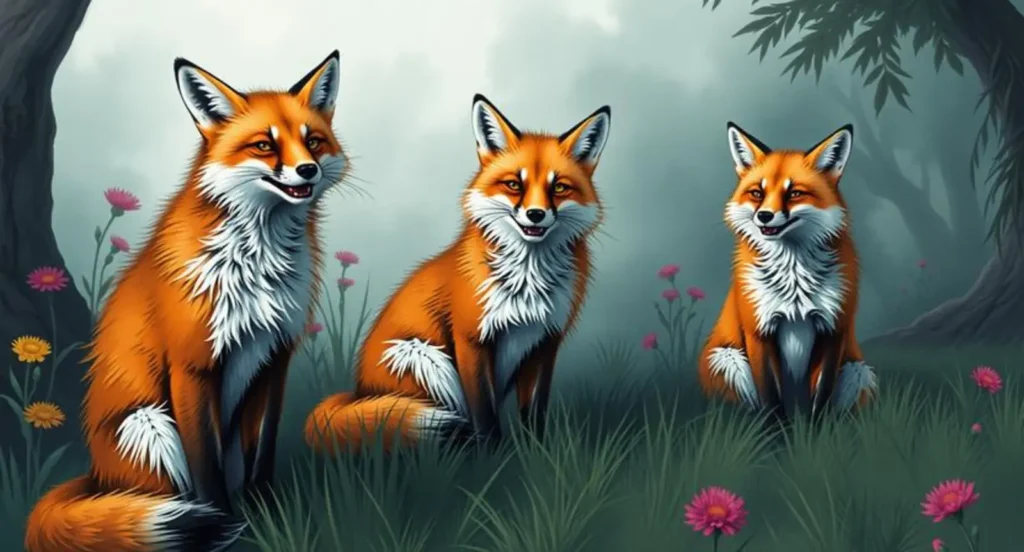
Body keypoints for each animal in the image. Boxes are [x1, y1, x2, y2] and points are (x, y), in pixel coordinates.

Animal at [25, 51, 347, 552]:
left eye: (312, 141)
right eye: (264, 145)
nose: (308, 170)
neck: (258, 266)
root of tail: (95, 477)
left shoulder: (275, 357)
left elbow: (264, 454)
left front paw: (270, 515)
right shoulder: (193, 366)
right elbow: (206, 468)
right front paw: (229, 526)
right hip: (150, 426)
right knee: (154, 500)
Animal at [304, 94, 611, 453]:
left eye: (559, 188)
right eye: (514, 185)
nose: (536, 215)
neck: (527, 283)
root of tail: (358, 393)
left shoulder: (544, 343)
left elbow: (535, 415)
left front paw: (536, 454)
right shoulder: (472, 340)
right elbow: (485, 414)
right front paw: (495, 458)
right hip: (426, 360)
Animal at [697, 122, 877, 422]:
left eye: (794, 193)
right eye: (757, 193)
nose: (764, 216)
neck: (794, 281)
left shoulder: (832, 330)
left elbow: (821, 398)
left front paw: (816, 433)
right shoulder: (760, 331)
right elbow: (771, 399)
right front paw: (775, 435)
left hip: (857, 372)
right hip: (728, 361)